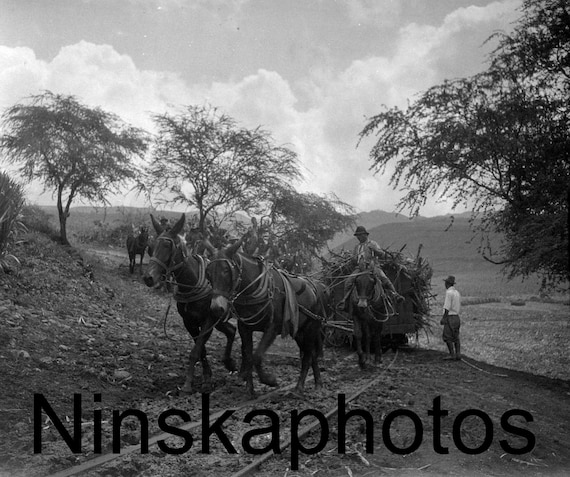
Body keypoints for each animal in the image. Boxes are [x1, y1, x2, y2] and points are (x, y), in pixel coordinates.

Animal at [142, 214, 235, 392]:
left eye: (167, 246)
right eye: (151, 246)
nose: (148, 277)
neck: (193, 281)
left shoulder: (208, 321)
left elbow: (196, 350)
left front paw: (187, 385)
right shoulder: (189, 322)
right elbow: (201, 350)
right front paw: (207, 377)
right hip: (221, 319)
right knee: (232, 331)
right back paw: (230, 364)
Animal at [206, 240, 326, 396]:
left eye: (226, 270)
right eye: (208, 273)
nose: (216, 308)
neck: (256, 288)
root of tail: (315, 288)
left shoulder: (272, 328)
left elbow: (257, 356)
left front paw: (269, 380)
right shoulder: (244, 328)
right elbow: (248, 356)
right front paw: (249, 389)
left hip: (311, 329)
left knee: (307, 357)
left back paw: (299, 387)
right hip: (299, 332)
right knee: (311, 354)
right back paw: (318, 383)